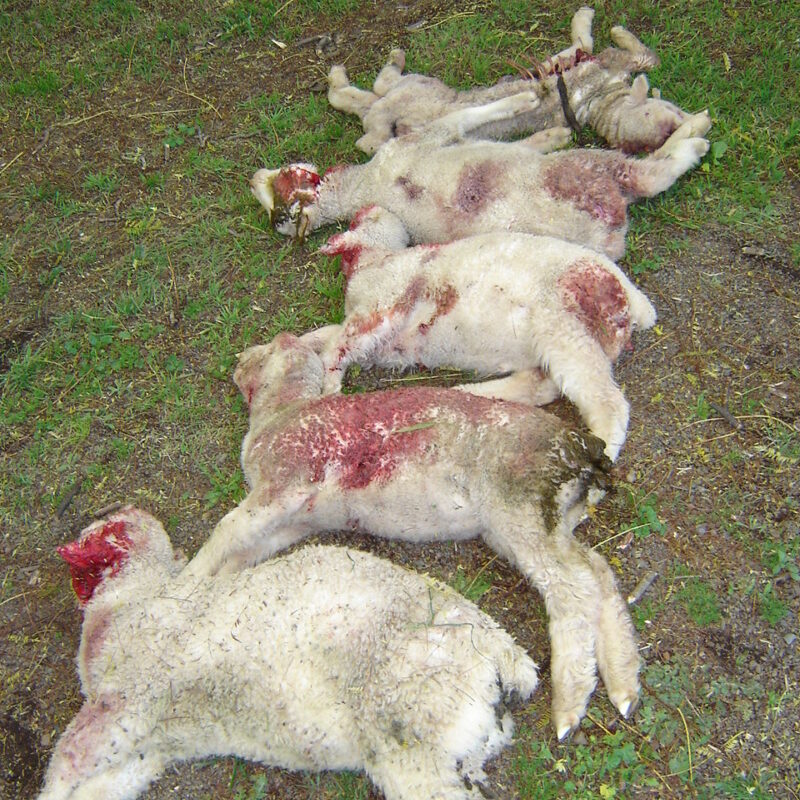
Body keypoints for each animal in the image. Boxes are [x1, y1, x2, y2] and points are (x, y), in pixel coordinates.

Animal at [39, 506, 536, 800]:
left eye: (99, 535)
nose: (63, 549)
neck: (125, 600)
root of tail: (502, 650)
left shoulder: (126, 699)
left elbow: (63, 768)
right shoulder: (147, 743)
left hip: (407, 729)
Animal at [184, 332, 640, 736]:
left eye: (266, 349)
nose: (239, 359)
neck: (279, 413)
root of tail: (585, 453)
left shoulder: (285, 483)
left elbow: (227, 528)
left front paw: (188, 578)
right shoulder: (295, 520)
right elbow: (243, 551)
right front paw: (213, 584)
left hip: (521, 512)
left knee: (573, 588)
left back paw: (569, 706)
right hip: (540, 525)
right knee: (597, 572)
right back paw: (623, 684)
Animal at [253, 91, 708, 260]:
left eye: (276, 184)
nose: (254, 176)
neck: (364, 185)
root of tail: (608, 232)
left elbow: (520, 142)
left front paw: (550, 132)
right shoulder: (431, 137)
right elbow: (472, 116)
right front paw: (524, 99)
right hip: (586, 169)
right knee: (650, 174)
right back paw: (695, 135)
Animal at [312, 206, 656, 462]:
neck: (376, 260)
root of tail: (630, 297)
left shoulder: (382, 303)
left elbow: (336, 347)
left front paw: (327, 393)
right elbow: (328, 336)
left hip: (566, 330)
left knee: (609, 404)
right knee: (540, 386)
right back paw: (472, 393)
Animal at [328, 5, 692, 154]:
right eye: (669, 112)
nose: (690, 119)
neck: (599, 102)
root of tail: (380, 118)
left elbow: (580, 49)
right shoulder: (599, 63)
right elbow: (591, 46)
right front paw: (601, 23)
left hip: (418, 99)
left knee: (365, 98)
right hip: (419, 91)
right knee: (376, 91)